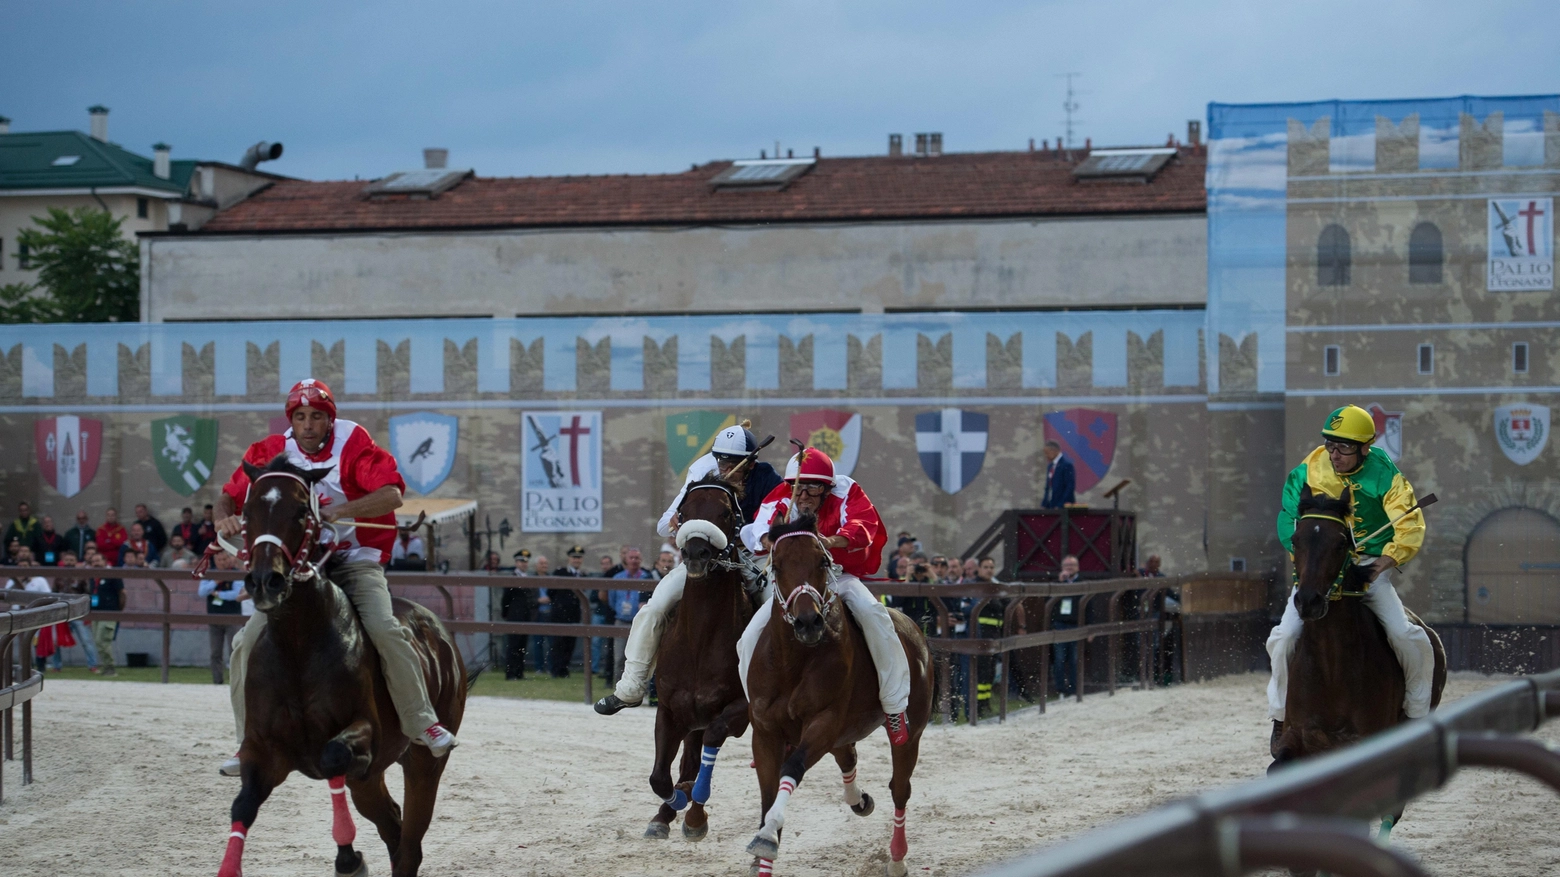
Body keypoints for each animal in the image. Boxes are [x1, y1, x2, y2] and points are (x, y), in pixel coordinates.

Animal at [636, 471, 751, 842]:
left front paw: (695, 814)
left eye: (726, 512)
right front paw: (669, 807)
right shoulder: (671, 708)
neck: (700, 641)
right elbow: (660, 776)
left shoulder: (741, 711)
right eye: (684, 511)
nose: (696, 551)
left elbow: (710, 746)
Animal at [739, 511, 923, 873]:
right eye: (777, 566)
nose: (808, 622)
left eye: (822, 561)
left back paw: (896, 860)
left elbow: (792, 768)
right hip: (843, 734)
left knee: (900, 788)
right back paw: (859, 800)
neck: (794, 662)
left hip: (911, 730)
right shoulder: (765, 730)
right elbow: (768, 791)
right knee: (848, 757)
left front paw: (767, 838)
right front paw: (762, 852)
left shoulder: (823, 721)